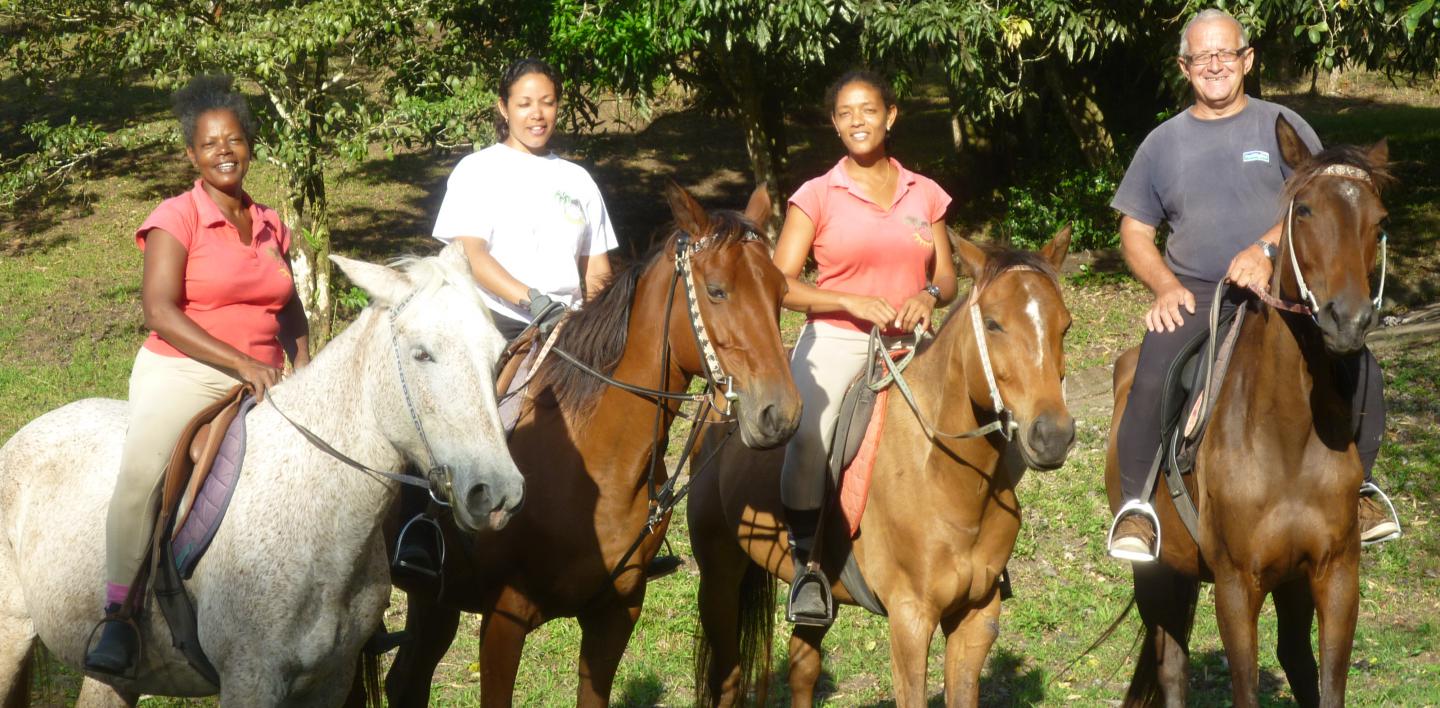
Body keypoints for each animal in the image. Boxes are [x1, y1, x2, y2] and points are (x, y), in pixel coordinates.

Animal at [0, 241, 524, 702]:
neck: (320, 512)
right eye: (422, 353)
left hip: (113, 677)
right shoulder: (251, 679)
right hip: (12, 638)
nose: (497, 493)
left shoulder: (331, 681)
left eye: (499, 353)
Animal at [691, 230, 1077, 705]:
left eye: (1065, 325)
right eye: (993, 324)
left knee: (802, 666)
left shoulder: (976, 617)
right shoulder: (910, 620)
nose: (1053, 434)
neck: (947, 477)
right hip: (718, 573)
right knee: (727, 676)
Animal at [1100, 118, 1393, 705]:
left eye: (1378, 222)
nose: (1347, 321)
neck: (1288, 435)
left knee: (1292, 659)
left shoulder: (1332, 574)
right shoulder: (1237, 585)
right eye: (1304, 211)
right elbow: (1243, 687)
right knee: (1172, 667)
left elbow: (1325, 681)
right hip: (1158, 575)